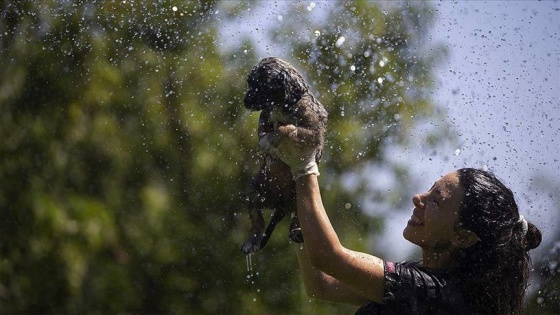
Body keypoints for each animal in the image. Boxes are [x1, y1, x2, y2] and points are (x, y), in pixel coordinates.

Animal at [241, 56, 328, 254]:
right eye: (249, 82)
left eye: (263, 84)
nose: (245, 101)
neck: (284, 103)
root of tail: (280, 204)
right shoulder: (265, 117)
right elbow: (265, 129)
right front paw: (266, 144)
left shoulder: (313, 133)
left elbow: (287, 127)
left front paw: (271, 140)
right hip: (254, 191)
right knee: (258, 221)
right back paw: (252, 241)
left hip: (298, 199)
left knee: (295, 222)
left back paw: (297, 232)